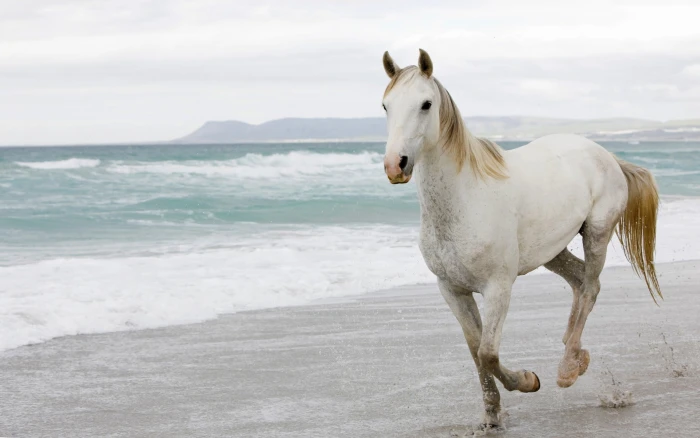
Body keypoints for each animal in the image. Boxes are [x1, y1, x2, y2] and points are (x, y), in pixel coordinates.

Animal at [380, 49, 661, 430]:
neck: (465, 199)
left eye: (425, 104)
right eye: (386, 105)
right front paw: (491, 415)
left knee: (590, 287)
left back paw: (567, 368)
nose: (396, 165)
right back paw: (575, 353)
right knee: (579, 281)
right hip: (553, 250)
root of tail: (606, 155)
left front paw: (529, 381)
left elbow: (487, 352)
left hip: (597, 234)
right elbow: (475, 351)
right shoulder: (452, 290)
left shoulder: (498, 287)